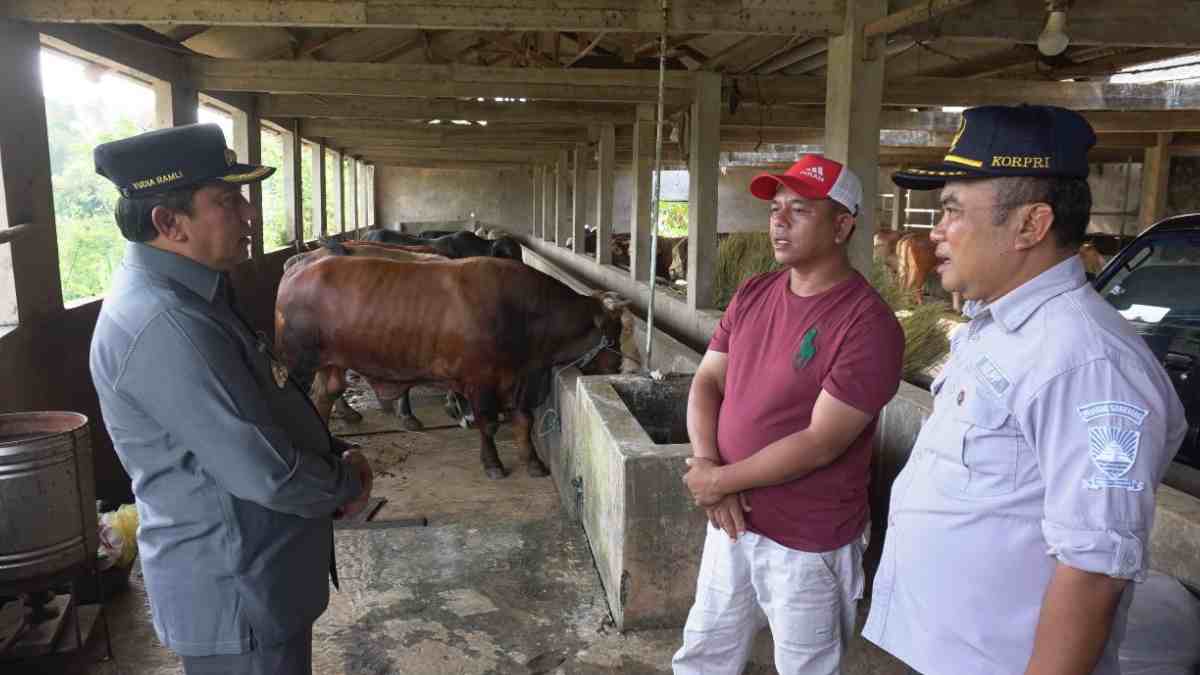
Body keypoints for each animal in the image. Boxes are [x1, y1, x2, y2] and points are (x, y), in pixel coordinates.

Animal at [277, 253, 633, 478]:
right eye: (613, 332)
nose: (617, 365)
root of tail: (301, 265)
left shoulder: (518, 379)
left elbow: (523, 420)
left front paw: (533, 462)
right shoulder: (481, 381)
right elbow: (488, 424)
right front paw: (492, 464)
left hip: (331, 364)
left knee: (324, 396)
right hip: (296, 363)